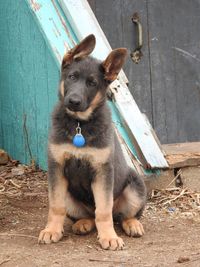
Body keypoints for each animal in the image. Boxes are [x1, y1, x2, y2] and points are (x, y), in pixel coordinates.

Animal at [38, 34, 146, 251]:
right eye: (72, 77)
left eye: (92, 83)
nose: (73, 101)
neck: (79, 124)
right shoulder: (57, 167)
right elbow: (56, 206)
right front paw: (51, 230)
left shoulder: (102, 170)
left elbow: (103, 210)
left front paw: (109, 237)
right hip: (70, 196)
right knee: (88, 215)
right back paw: (83, 223)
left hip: (135, 187)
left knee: (121, 215)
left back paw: (132, 224)